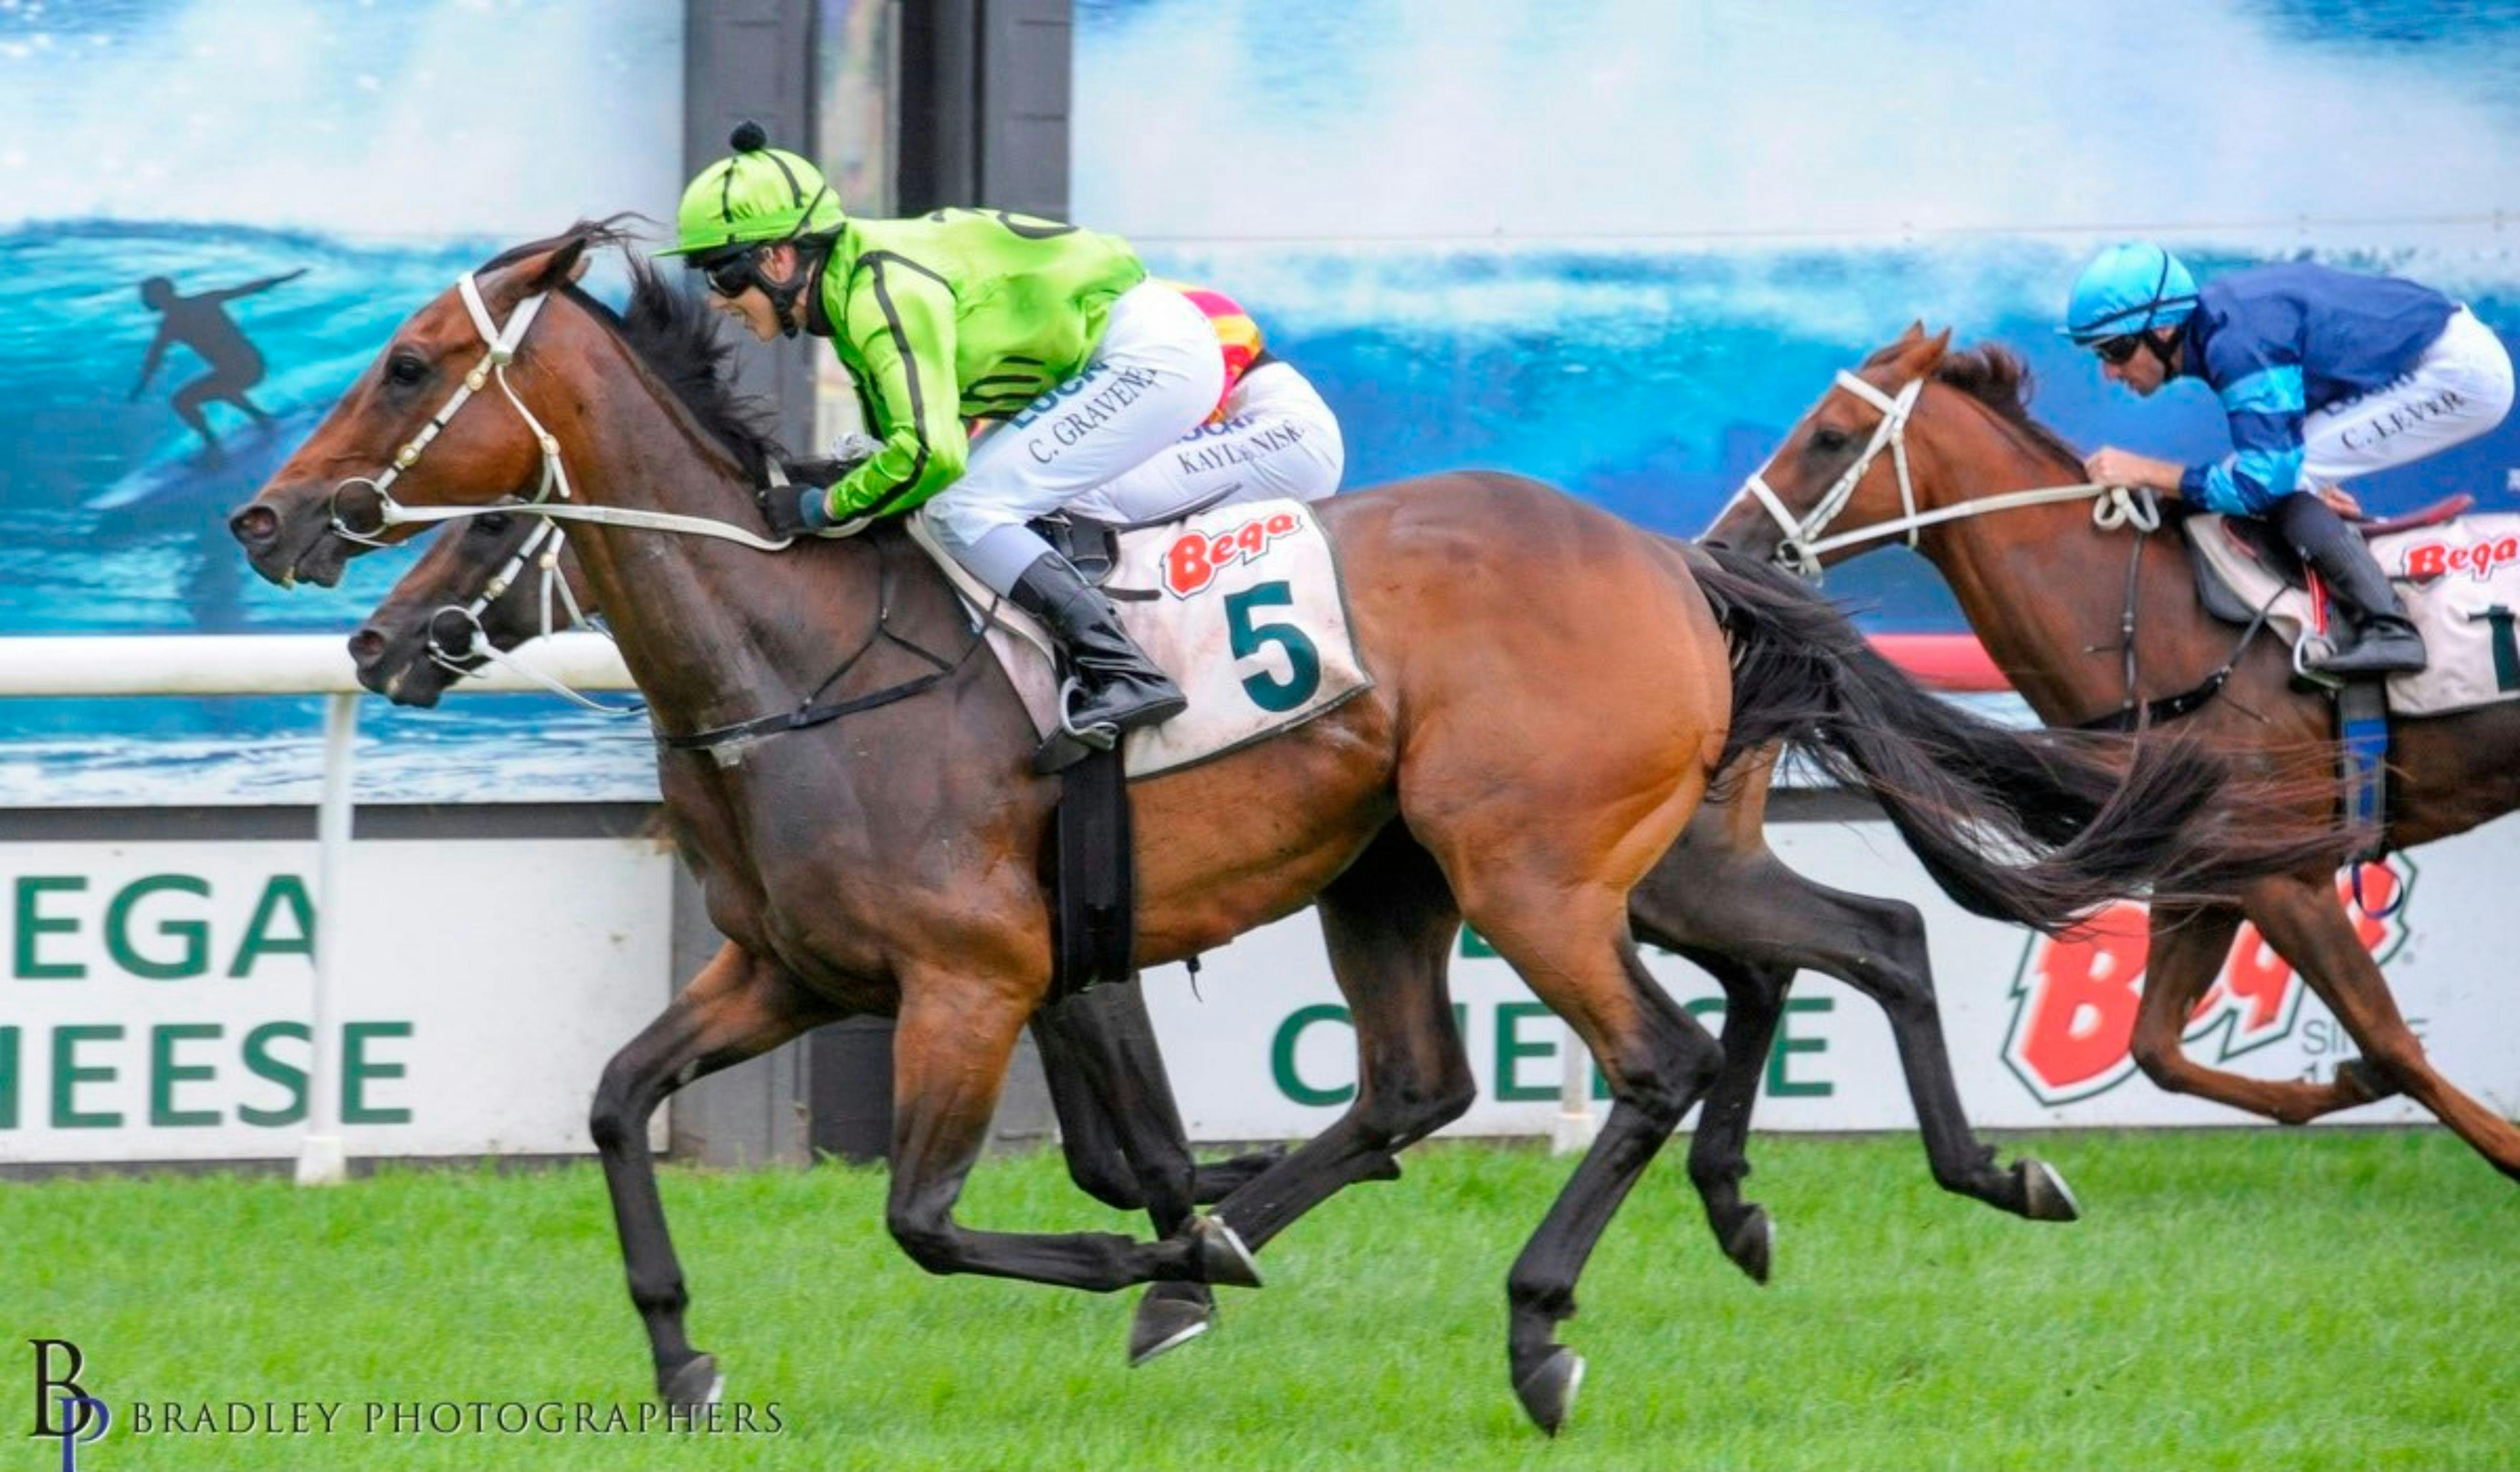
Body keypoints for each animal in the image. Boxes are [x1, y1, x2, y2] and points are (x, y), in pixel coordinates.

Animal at [227, 224, 2344, 1432]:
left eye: (413, 369)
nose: (283, 531)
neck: (802, 654)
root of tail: (1670, 557)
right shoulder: (793, 969)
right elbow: (611, 1102)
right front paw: (679, 1357)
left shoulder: (980, 975)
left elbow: (940, 1209)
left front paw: (1155, 1254)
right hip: (1441, 871)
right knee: (1545, 1042)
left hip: (1529, 863)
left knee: (1657, 1048)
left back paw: (1530, 1319)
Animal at [1706, 325, 2520, 1182]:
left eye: (1829, 436)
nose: (1724, 542)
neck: (2156, 621)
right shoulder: (2212, 877)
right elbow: (2157, 1048)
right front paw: (2338, 1085)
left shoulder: (2287, 875)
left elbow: (2393, 1043)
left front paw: (2501, 1147)